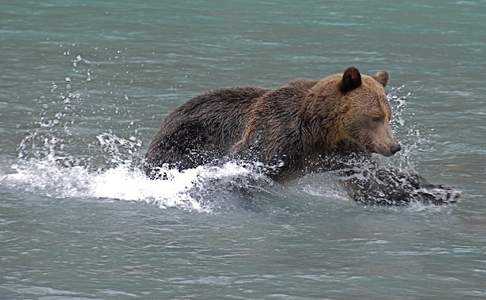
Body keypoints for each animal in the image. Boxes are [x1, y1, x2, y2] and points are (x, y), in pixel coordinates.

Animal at [145, 67, 460, 205]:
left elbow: (371, 181)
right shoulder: (275, 133)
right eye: (376, 117)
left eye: (388, 116)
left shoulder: (341, 155)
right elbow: (246, 162)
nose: (394, 146)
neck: (318, 132)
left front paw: (438, 190)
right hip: (183, 141)